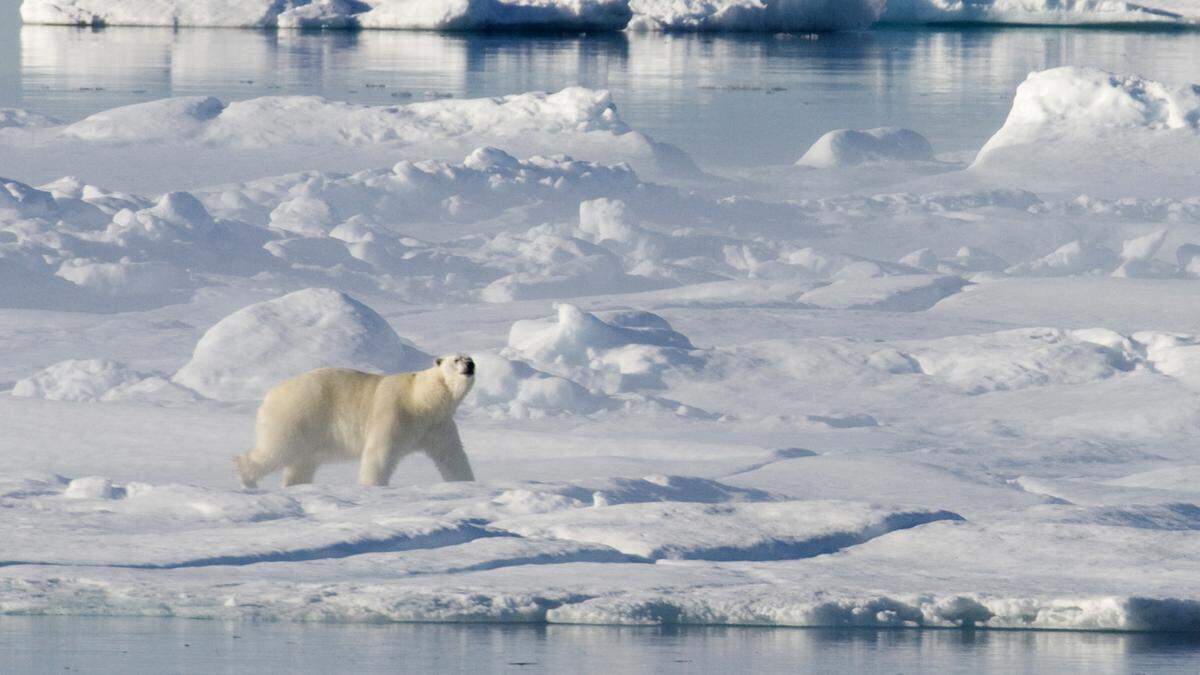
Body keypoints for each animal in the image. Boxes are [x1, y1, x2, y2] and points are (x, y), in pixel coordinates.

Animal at [231, 355, 475, 485]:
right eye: (456, 359)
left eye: (470, 358)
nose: (470, 364)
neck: (422, 399)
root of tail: (269, 395)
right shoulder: (394, 414)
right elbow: (379, 454)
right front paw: (372, 486)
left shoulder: (438, 425)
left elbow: (452, 456)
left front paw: (465, 483)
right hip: (296, 415)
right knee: (277, 450)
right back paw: (246, 477)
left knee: (301, 464)